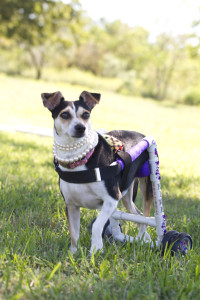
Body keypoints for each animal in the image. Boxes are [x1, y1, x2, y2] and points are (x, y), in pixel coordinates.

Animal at [41, 90, 152, 254]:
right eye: (65, 114)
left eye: (86, 115)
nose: (80, 127)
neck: (79, 162)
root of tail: (142, 135)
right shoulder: (71, 205)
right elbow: (74, 233)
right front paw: (73, 253)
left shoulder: (111, 198)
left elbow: (97, 225)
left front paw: (96, 248)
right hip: (127, 198)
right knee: (137, 216)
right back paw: (143, 239)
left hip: (147, 186)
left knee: (145, 218)